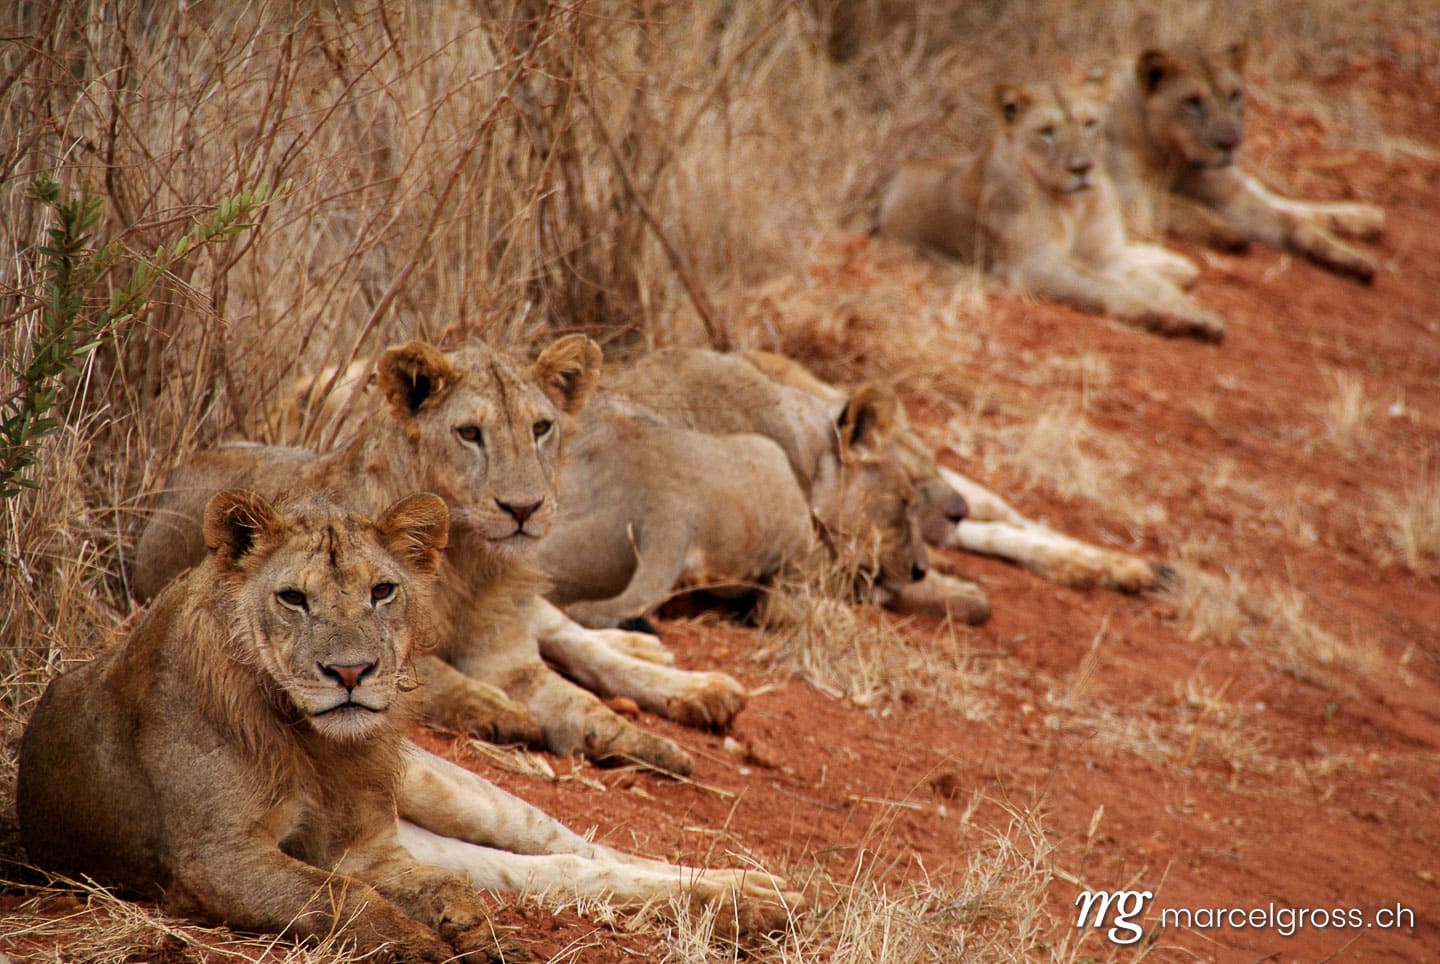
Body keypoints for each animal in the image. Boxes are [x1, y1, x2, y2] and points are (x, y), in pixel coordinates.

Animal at [19, 491, 802, 955]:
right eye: (293, 599)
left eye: (382, 591)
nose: (351, 673)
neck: (311, 744)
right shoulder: (217, 857)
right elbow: (339, 896)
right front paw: (424, 938)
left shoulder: (364, 847)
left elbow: (362, 886)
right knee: (547, 872)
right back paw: (749, 902)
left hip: (453, 788)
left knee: (579, 847)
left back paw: (757, 892)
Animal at [132, 337, 748, 777]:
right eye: (469, 433)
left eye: (541, 428)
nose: (524, 508)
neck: (469, 558)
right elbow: (440, 678)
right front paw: (505, 714)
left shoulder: (507, 653)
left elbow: (583, 703)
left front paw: (652, 745)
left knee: (574, 636)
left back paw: (696, 685)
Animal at [877, 76, 1226, 341]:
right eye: (1046, 132)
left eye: (1089, 124)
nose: (1082, 168)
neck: (1076, 205)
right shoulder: (1034, 265)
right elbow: (1106, 287)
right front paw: (1166, 316)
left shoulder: (1105, 257)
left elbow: (1156, 287)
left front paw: (1196, 313)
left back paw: (1178, 265)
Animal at [1106, 44, 1384, 282]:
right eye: (1192, 102)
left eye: (1234, 95)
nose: (1230, 144)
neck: (1177, 157)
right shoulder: (1131, 195)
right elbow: (1182, 206)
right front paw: (1226, 231)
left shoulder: (1227, 194)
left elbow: (1288, 221)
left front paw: (1348, 257)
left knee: (1282, 203)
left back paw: (1365, 217)